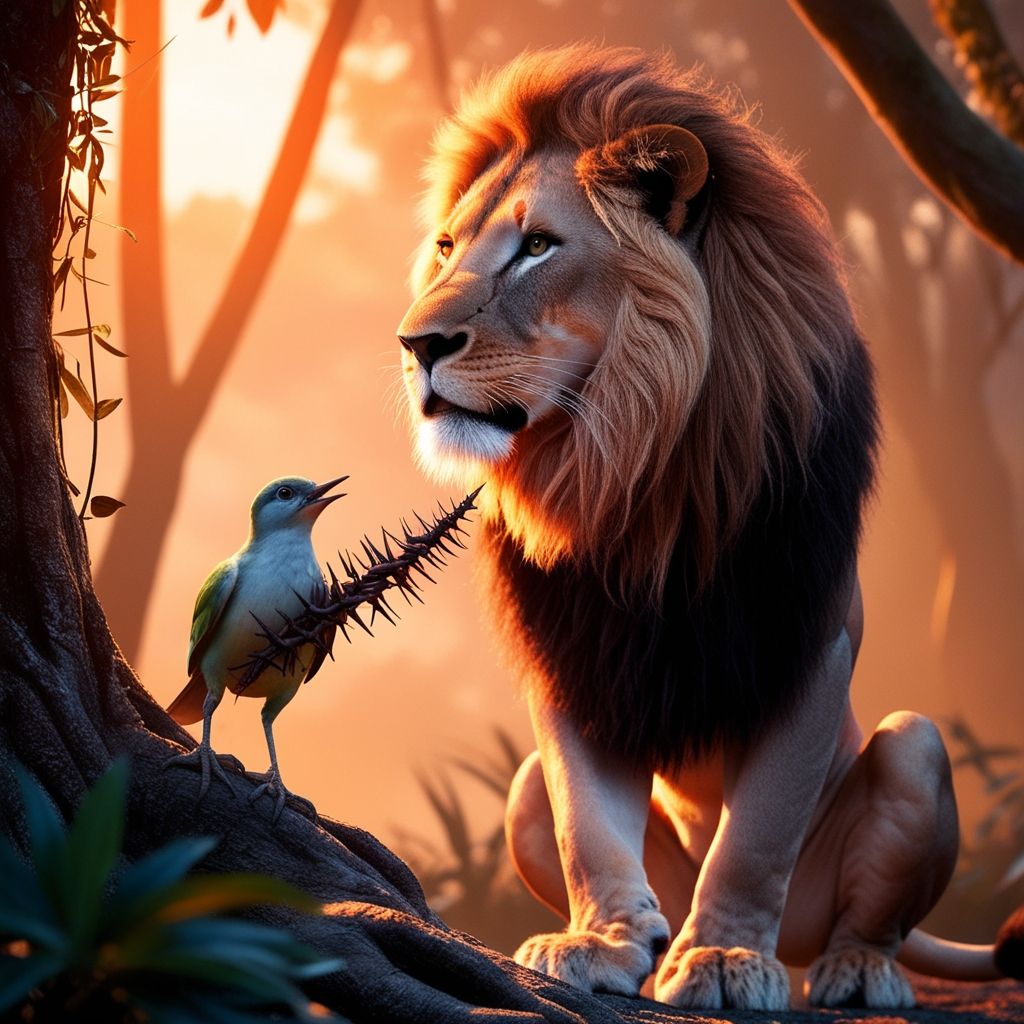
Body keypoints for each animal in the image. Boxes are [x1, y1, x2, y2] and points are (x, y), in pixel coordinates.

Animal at [396, 45, 1024, 1010]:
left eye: (538, 247)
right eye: (446, 248)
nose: (414, 345)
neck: (632, 469)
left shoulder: (809, 643)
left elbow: (756, 837)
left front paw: (724, 956)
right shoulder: (575, 660)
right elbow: (588, 825)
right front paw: (605, 943)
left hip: (913, 749)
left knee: (868, 911)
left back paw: (854, 969)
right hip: (521, 787)